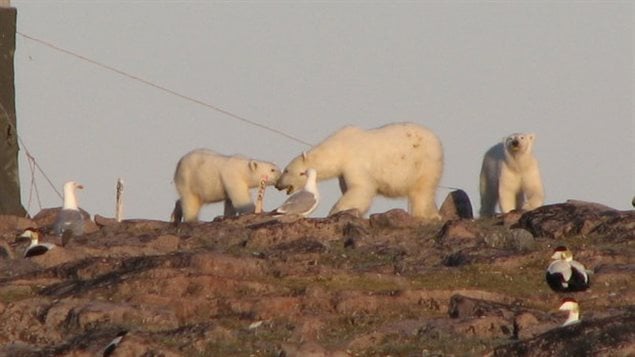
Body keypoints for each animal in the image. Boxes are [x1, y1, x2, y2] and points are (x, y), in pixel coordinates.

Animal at [276, 121, 444, 217]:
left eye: (287, 170)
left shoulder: (355, 161)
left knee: (422, 191)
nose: (278, 184)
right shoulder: (343, 172)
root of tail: (436, 139)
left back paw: (423, 215)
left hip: (424, 163)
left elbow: (360, 188)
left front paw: (336, 212)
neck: (340, 148)